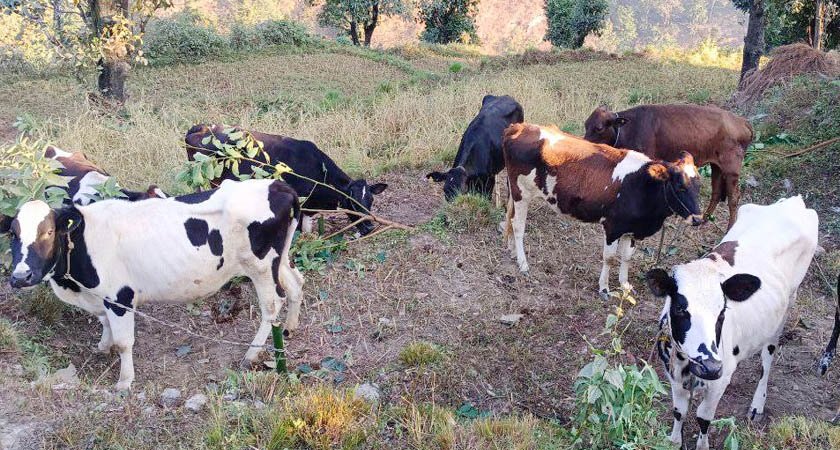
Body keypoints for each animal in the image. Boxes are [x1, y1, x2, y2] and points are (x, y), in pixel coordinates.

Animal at [2, 179, 306, 390]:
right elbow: (103, 322)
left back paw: (251, 354)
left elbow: (124, 342)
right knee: (295, 283)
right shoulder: (101, 297)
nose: (20, 276)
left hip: (261, 266)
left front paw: (124, 381)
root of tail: (278, 185)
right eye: (13, 234)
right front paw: (102, 345)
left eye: (49, 231)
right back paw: (290, 327)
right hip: (280, 258)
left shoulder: (119, 297)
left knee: (272, 304)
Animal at [584, 103, 756, 229]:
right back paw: (704, 220)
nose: (583, 142)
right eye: (586, 124)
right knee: (716, 192)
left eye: (599, 128)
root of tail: (742, 121)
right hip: (717, 166)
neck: (629, 129)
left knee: (733, 198)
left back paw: (730, 228)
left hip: (731, 168)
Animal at [648, 196, 816, 450]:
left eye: (722, 312)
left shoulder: (721, 378)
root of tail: (793, 202)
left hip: (786, 307)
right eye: (679, 308)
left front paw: (702, 445)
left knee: (768, 358)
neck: (687, 365)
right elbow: (679, 411)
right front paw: (674, 441)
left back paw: (757, 404)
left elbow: (703, 417)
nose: (710, 367)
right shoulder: (673, 373)